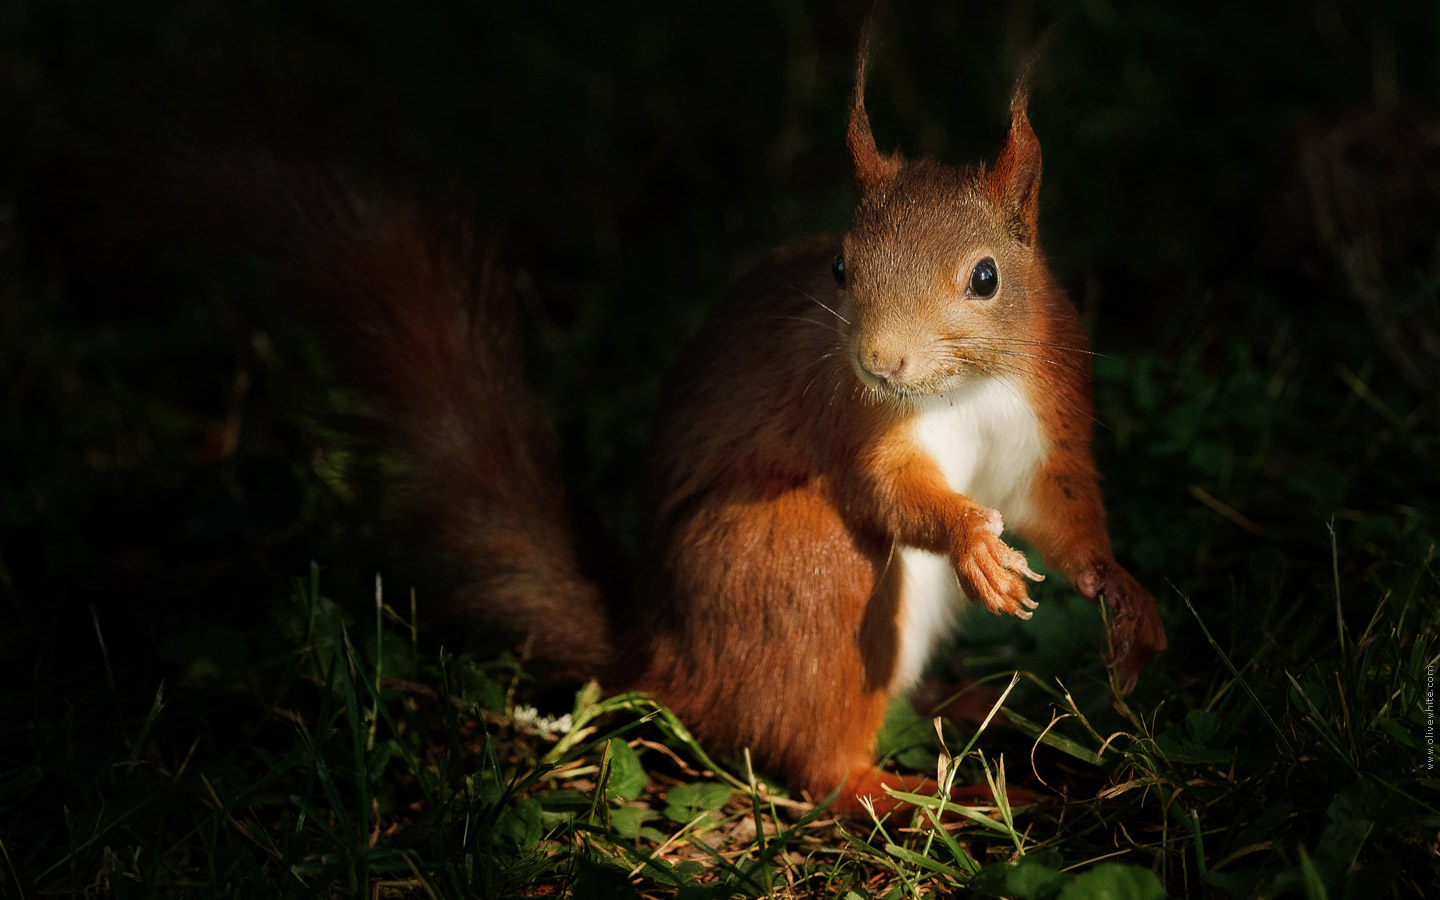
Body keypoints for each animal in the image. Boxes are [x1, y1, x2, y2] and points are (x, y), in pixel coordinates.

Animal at [163, 35, 1169, 823]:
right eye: (842, 267)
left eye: (987, 278)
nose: (881, 361)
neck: (966, 391)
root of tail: (665, 659)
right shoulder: (852, 418)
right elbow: (887, 491)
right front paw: (972, 543)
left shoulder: (1045, 414)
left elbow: (1061, 510)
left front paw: (1124, 599)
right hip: (801, 566)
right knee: (820, 764)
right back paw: (917, 798)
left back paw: (963, 704)